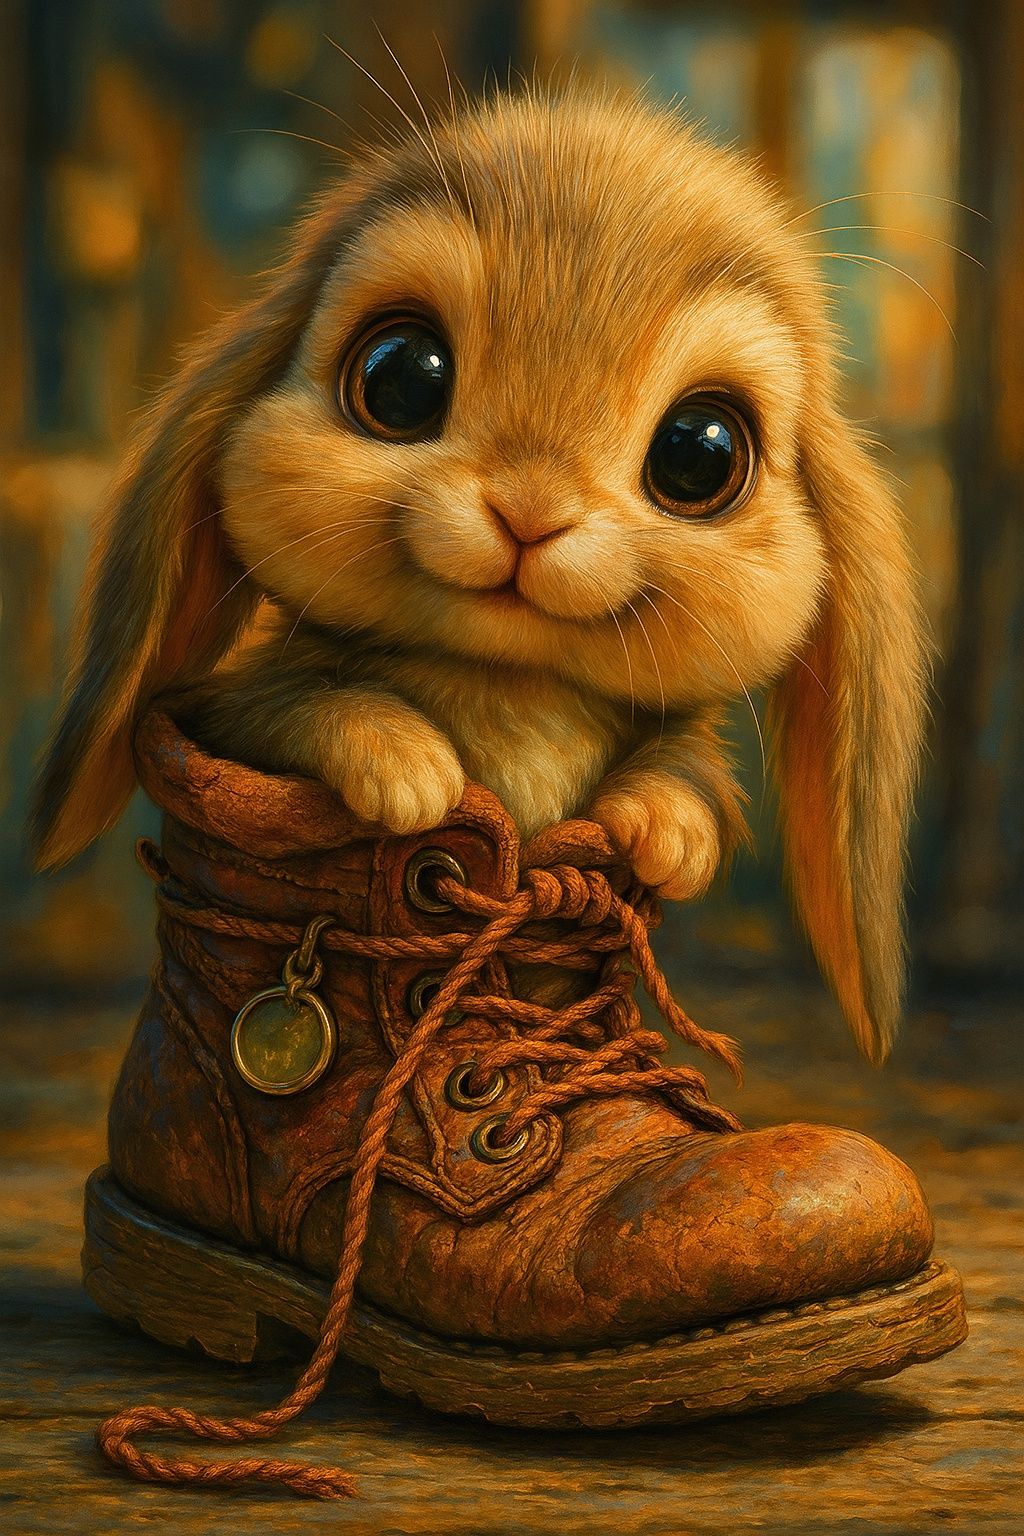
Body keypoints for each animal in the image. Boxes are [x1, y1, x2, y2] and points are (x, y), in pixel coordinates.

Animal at [31, 88, 927, 1065]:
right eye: (400, 377)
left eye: (701, 452)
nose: (528, 512)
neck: (507, 685)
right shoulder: (231, 715)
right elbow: (305, 702)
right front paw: (405, 766)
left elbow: (681, 759)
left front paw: (669, 829)